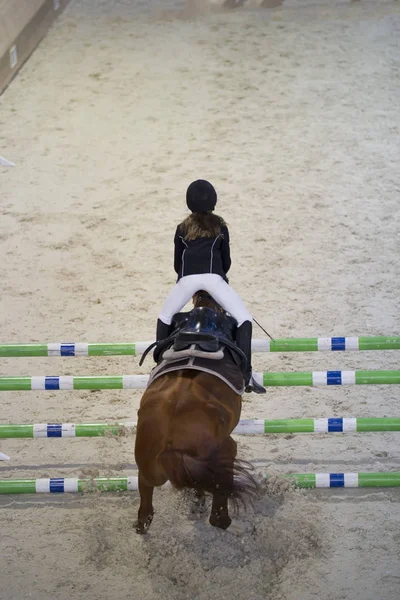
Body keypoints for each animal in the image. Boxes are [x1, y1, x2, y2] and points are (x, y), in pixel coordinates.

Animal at [134, 292, 260, 532]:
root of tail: (169, 443)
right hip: (225, 452)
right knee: (218, 506)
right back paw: (224, 520)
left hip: (149, 467)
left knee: (146, 499)